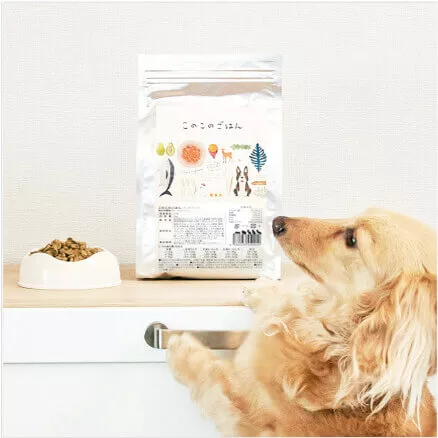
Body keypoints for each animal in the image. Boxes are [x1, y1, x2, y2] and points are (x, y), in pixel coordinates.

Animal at [167, 208, 437, 436]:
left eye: (352, 239)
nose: (277, 222)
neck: (329, 338)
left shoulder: (254, 416)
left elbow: (217, 379)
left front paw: (183, 348)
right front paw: (261, 288)